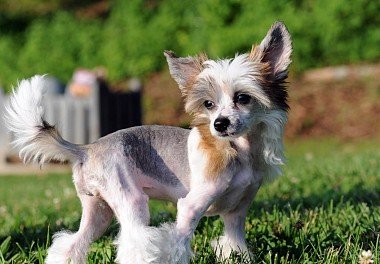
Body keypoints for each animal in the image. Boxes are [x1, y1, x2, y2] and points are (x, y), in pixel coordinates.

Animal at [4, 21, 292, 262]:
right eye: (208, 104)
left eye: (243, 98)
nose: (219, 124)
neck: (237, 151)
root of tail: (87, 148)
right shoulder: (190, 207)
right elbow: (177, 242)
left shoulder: (236, 214)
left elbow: (233, 243)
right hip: (130, 200)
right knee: (134, 243)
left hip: (99, 212)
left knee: (71, 245)